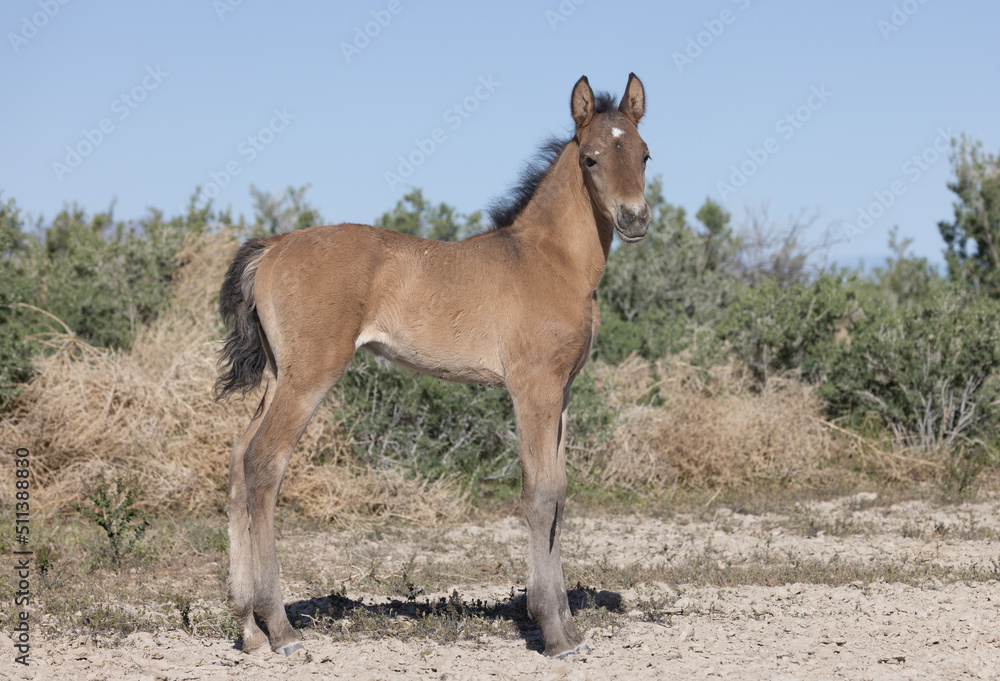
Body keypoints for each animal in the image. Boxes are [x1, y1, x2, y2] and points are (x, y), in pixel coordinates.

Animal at [215, 73, 651, 658]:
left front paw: (567, 624)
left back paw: (248, 629)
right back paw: (280, 629)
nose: (634, 218)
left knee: (239, 461)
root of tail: (275, 246)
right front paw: (553, 634)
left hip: (279, 376)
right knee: (264, 463)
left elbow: (560, 492)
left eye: (645, 154)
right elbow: (538, 494)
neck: (550, 259)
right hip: (309, 375)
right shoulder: (532, 387)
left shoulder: (561, 392)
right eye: (591, 157)